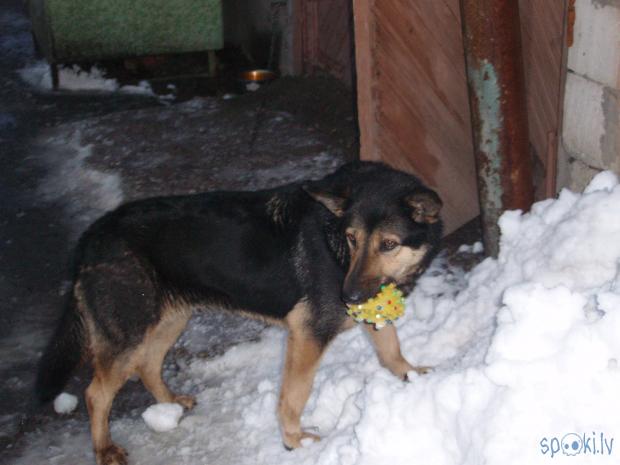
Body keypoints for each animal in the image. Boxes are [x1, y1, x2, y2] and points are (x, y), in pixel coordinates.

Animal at [35, 160, 440, 464]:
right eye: (352, 239)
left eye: (388, 244)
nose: (349, 296)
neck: (333, 237)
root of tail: (91, 236)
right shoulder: (307, 332)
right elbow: (294, 395)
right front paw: (294, 440)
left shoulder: (372, 306)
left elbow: (391, 349)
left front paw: (411, 376)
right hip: (129, 332)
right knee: (96, 393)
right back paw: (105, 449)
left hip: (169, 318)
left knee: (147, 365)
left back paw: (170, 403)